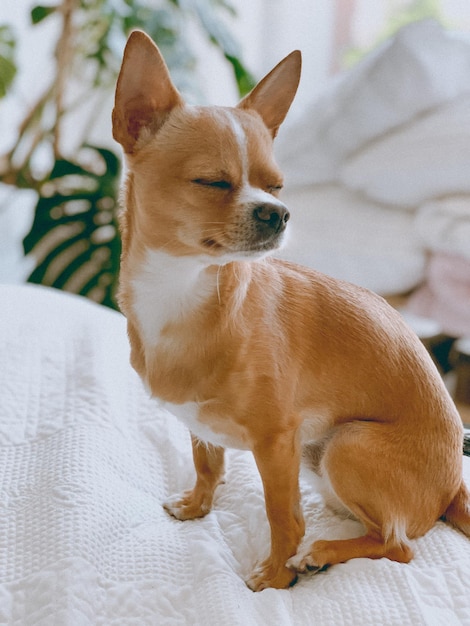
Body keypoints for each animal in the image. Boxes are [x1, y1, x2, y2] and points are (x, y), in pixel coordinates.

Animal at [114, 31, 470, 588]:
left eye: (277, 185)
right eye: (212, 182)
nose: (278, 213)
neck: (186, 292)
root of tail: (454, 487)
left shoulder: (277, 441)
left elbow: (283, 515)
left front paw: (274, 577)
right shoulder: (202, 422)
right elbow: (206, 462)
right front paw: (197, 506)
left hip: (346, 444)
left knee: (399, 545)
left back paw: (320, 552)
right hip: (318, 454)